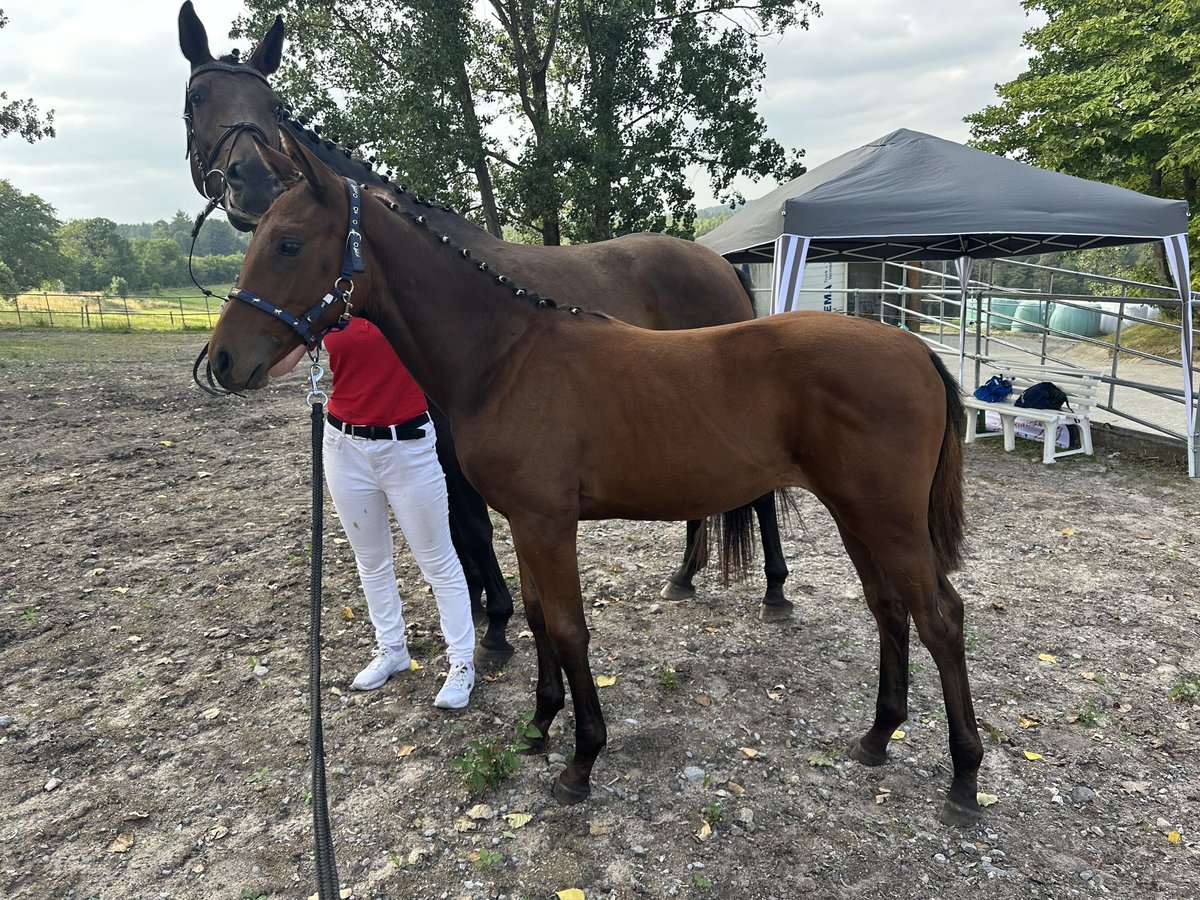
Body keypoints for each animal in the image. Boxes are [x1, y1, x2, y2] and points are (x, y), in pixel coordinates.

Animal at [177, 1, 797, 668]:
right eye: (197, 97)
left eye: (272, 104)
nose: (254, 182)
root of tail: (718, 263)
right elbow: (459, 532)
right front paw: (479, 610)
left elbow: (470, 530)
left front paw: (495, 624)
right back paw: (684, 576)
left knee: (762, 495)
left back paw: (775, 591)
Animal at [204, 135, 985, 825]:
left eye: (289, 243)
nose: (222, 361)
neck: (505, 356)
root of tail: (916, 349)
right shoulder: (523, 521)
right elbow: (540, 617)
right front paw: (538, 727)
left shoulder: (549, 524)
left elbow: (570, 628)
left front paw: (580, 761)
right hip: (858, 515)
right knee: (889, 607)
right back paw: (878, 736)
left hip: (887, 518)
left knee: (940, 616)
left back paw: (964, 780)